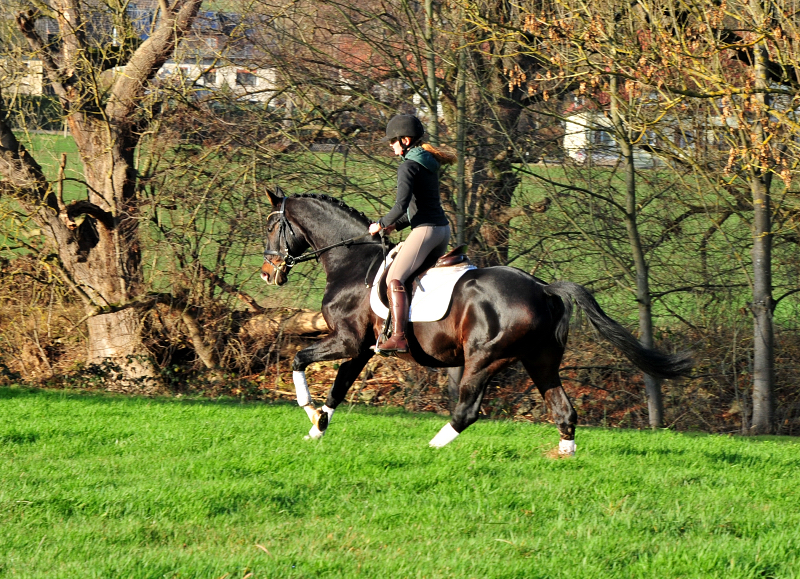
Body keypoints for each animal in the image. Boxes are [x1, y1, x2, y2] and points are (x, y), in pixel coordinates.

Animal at [260, 190, 692, 454]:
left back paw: (432, 448)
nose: (267, 273)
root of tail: (544, 289)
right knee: (564, 410)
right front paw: (317, 428)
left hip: (484, 359)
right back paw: (564, 456)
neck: (350, 262)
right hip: (540, 360)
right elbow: (339, 388)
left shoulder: (347, 341)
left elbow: (300, 360)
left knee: (467, 410)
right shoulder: (362, 349)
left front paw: (307, 409)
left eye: (271, 225)